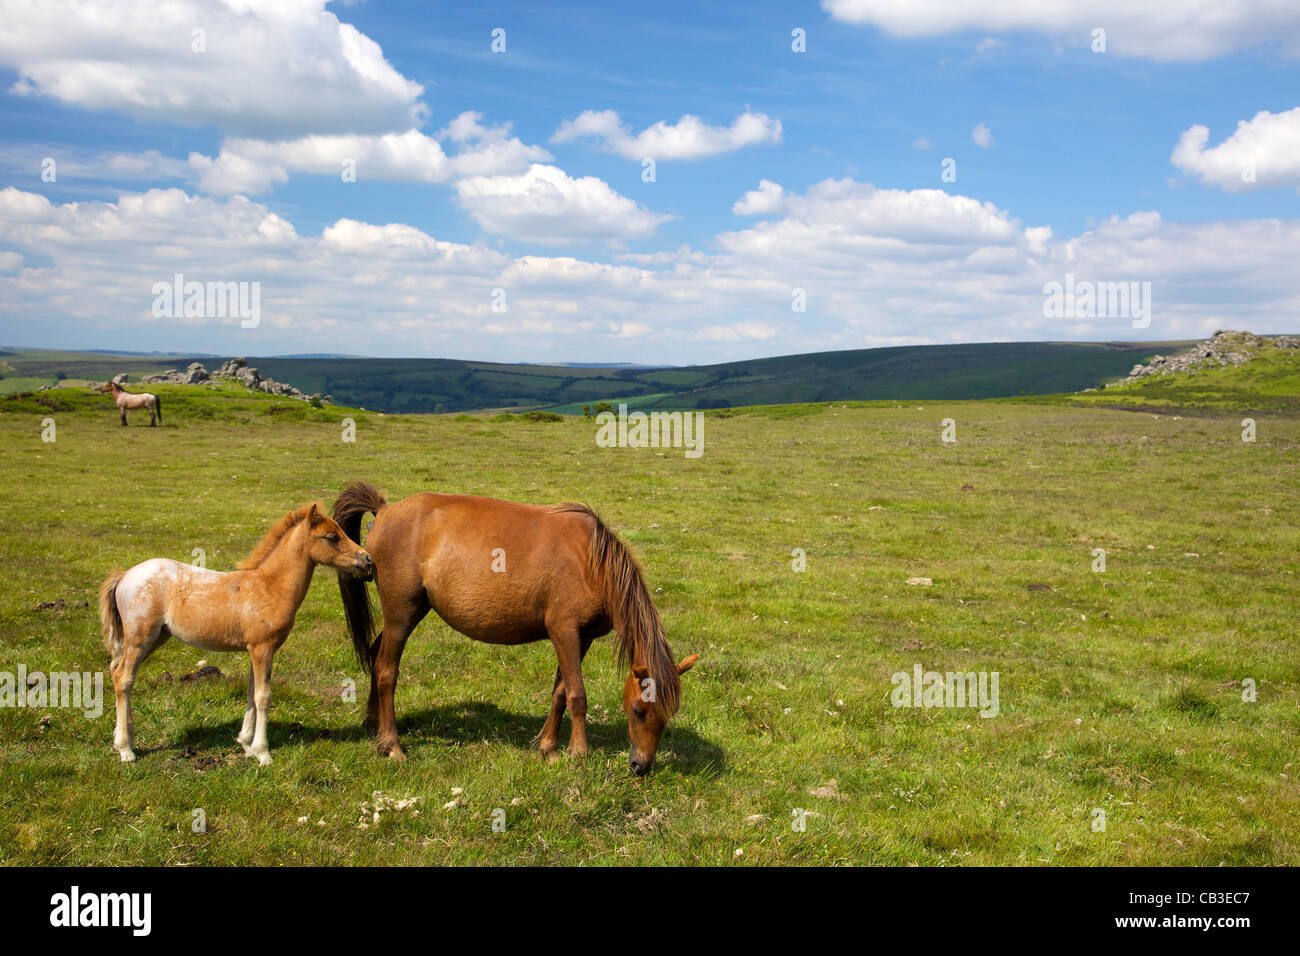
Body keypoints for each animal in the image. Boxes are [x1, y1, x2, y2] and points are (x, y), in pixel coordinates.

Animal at [98, 503, 374, 765]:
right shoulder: (262, 648)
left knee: (117, 671)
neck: (269, 587)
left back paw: (125, 739)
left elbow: (251, 692)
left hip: (156, 638)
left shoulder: (256, 649)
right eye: (332, 537)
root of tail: (124, 575)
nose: (367, 560)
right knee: (124, 678)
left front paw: (246, 744)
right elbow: (263, 696)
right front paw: (263, 753)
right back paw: (126, 749)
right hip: (140, 639)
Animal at [333, 481, 698, 775]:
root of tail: (384, 511)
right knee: (386, 671)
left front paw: (549, 748)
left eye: (667, 714)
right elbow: (577, 694)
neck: (592, 562)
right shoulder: (564, 632)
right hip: (402, 614)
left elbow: (560, 693)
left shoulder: (582, 639)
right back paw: (391, 745)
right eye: (638, 710)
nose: (641, 766)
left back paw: (373, 727)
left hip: (407, 614)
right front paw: (578, 753)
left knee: (375, 655)